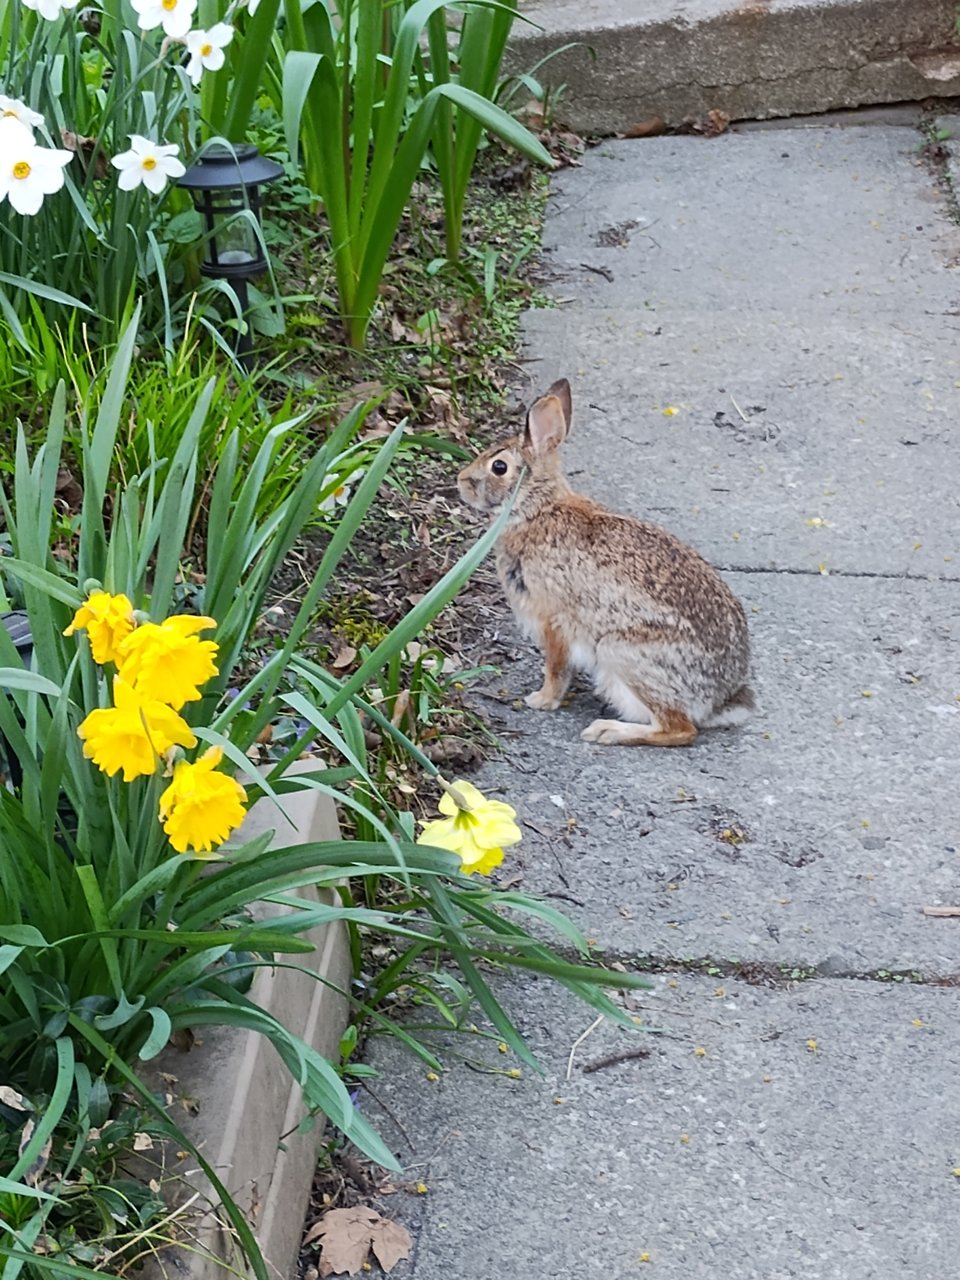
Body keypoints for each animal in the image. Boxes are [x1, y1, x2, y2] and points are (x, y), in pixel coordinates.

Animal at [457, 378, 755, 747]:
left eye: (499, 466)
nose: (461, 481)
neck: (537, 509)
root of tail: (719, 701)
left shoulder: (553, 620)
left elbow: (557, 668)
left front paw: (541, 700)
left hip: (621, 652)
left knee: (679, 729)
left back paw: (608, 730)